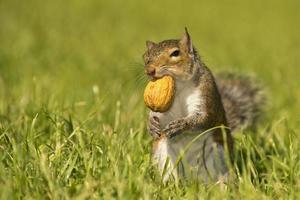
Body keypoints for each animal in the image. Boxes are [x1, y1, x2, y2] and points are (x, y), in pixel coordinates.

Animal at [142, 27, 264, 183]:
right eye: (146, 56)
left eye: (175, 53)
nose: (150, 70)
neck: (179, 86)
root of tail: (191, 179)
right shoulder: (164, 108)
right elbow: (157, 114)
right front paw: (151, 124)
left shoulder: (205, 95)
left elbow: (204, 117)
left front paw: (182, 124)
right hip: (163, 156)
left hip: (219, 157)